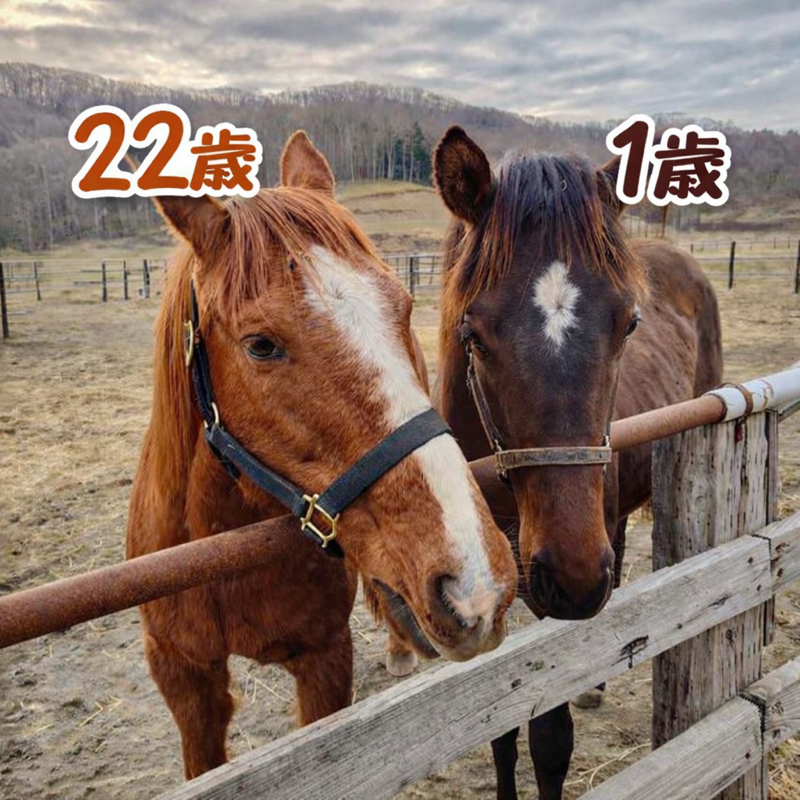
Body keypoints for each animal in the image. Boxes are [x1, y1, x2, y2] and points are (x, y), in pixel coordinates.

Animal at [125, 130, 518, 781]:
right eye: (261, 344)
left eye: (403, 307)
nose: (476, 584)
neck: (216, 552)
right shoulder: (184, 678)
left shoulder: (325, 659)